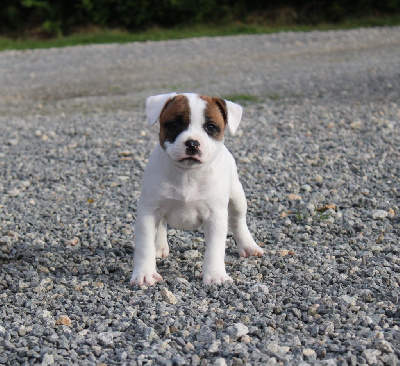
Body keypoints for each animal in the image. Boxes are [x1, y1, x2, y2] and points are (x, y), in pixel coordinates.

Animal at [130, 92, 264, 286]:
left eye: (211, 127)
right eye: (173, 124)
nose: (192, 143)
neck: (188, 174)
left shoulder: (215, 216)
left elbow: (215, 248)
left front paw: (215, 275)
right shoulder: (148, 212)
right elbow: (144, 245)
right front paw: (144, 273)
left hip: (237, 197)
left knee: (238, 221)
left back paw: (248, 245)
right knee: (161, 224)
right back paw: (159, 246)